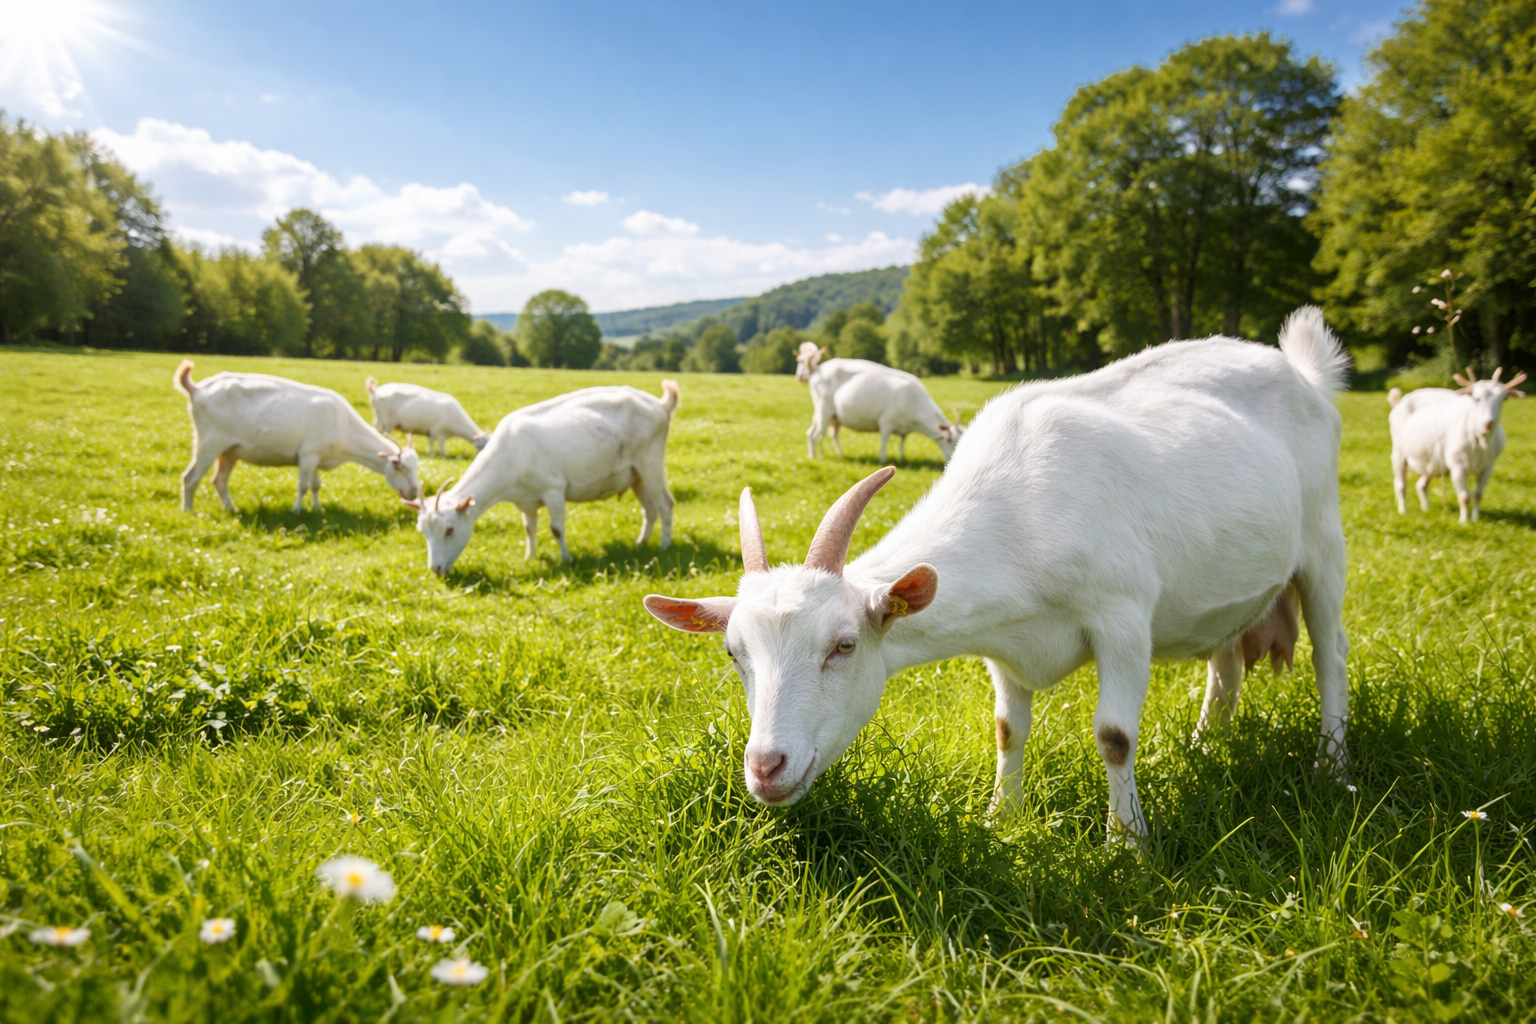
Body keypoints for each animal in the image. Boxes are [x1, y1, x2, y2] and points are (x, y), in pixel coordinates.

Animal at [174, 361, 420, 513]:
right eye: (398, 466)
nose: (415, 492)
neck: (344, 427)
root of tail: (197, 389)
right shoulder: (308, 455)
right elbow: (303, 486)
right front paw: (297, 510)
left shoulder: (318, 458)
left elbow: (316, 485)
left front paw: (318, 509)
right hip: (209, 444)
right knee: (190, 478)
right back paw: (188, 512)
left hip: (229, 452)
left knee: (219, 480)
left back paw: (232, 509)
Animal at [411, 381, 679, 573]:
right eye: (422, 532)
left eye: (449, 530)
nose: (435, 569)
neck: (512, 453)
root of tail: (660, 405)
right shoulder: (525, 500)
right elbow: (529, 528)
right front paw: (530, 557)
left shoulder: (554, 489)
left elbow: (556, 529)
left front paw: (567, 559)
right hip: (636, 476)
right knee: (649, 509)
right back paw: (641, 544)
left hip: (650, 463)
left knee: (665, 504)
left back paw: (664, 546)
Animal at [795, 342, 960, 462]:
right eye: (950, 441)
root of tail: (816, 369)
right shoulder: (886, 422)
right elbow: (883, 443)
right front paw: (883, 461)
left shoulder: (903, 429)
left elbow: (902, 444)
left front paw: (902, 458)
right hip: (824, 410)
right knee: (817, 434)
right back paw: (818, 457)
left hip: (831, 416)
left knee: (819, 433)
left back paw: (838, 455)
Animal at [1388, 366, 1526, 523]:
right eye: (1476, 398)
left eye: (1503, 399)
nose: (1488, 423)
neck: (1479, 441)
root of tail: (1400, 402)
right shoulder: (1457, 465)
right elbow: (1464, 496)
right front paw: (1464, 521)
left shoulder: (1488, 466)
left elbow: (1478, 494)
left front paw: (1475, 518)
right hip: (1399, 451)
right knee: (1400, 484)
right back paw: (1403, 511)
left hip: (1433, 461)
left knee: (1421, 484)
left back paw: (1426, 509)